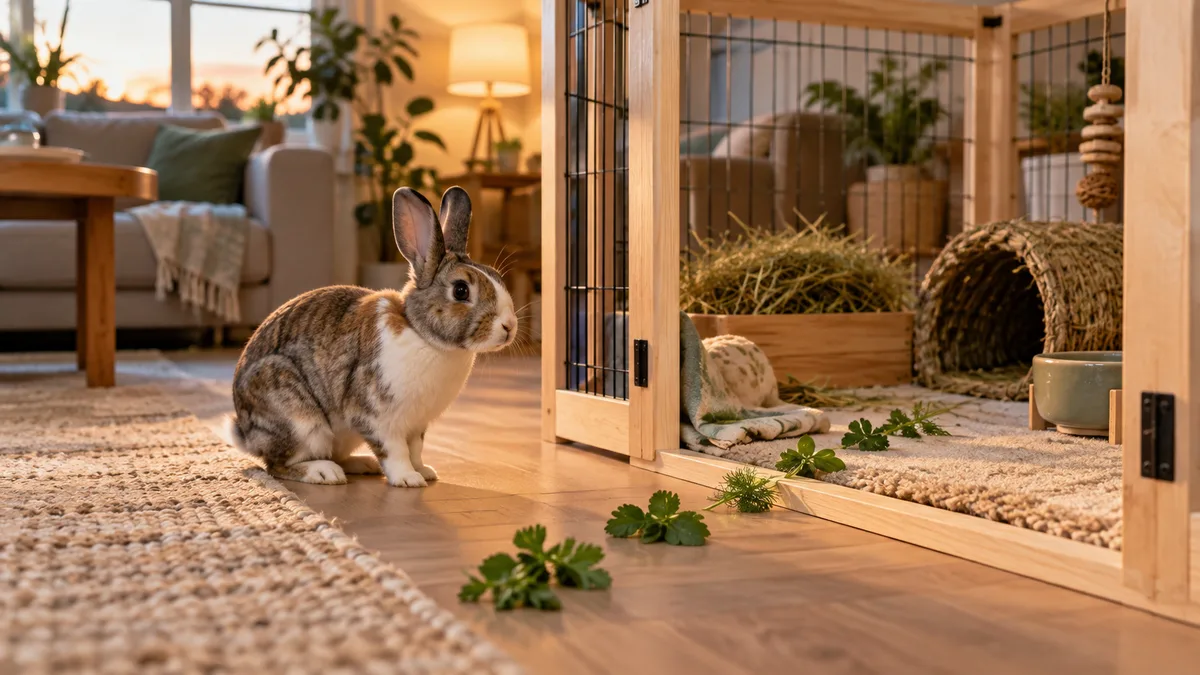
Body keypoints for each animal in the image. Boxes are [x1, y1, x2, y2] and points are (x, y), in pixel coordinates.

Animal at [223, 186, 518, 487]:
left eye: (496, 275)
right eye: (461, 290)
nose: (509, 326)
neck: (421, 334)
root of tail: (245, 434)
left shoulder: (416, 425)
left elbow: (415, 449)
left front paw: (424, 471)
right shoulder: (378, 418)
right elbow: (395, 451)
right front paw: (408, 479)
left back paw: (362, 464)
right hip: (300, 421)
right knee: (278, 465)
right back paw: (324, 472)